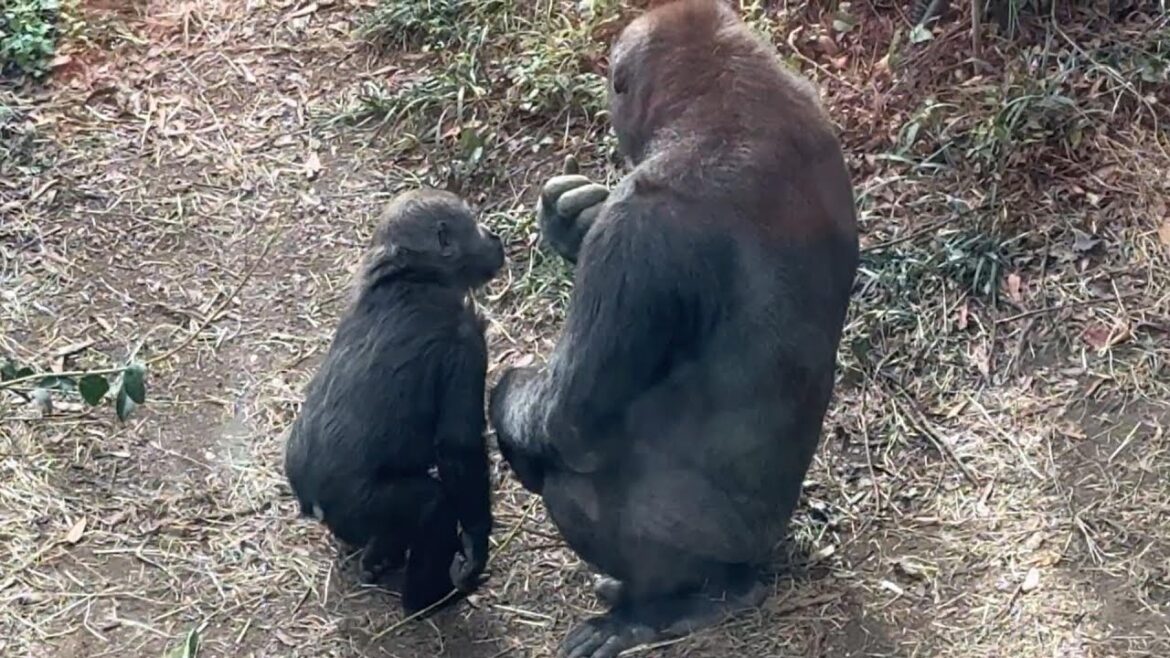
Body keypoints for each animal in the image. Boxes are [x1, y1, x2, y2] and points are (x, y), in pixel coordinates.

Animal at [284, 188, 504, 615]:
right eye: (473, 224)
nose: (494, 235)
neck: (411, 274)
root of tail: (310, 503)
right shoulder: (466, 339)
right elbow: (458, 448)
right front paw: (476, 546)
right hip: (359, 503)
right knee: (433, 507)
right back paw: (430, 600)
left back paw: (380, 557)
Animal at [488, 1, 859, 656]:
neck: (731, 105)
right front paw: (570, 220)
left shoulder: (637, 228)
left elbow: (566, 421)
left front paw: (504, 395)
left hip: (716, 544)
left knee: (573, 480)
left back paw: (678, 602)